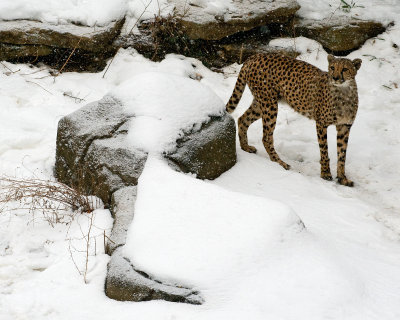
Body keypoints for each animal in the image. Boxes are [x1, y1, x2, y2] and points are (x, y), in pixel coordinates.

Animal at [225, 53, 362, 186]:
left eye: (345, 69)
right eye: (332, 67)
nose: (335, 77)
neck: (344, 92)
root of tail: (254, 56)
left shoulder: (344, 127)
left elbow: (342, 154)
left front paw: (342, 178)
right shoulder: (321, 124)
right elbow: (324, 150)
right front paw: (325, 174)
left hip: (261, 104)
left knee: (242, 119)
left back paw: (246, 147)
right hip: (269, 105)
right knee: (266, 137)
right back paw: (280, 162)